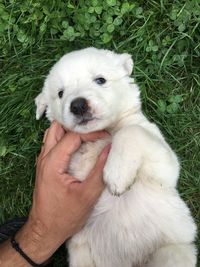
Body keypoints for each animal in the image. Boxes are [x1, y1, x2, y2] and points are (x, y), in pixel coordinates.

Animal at [35, 48, 196, 267]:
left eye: (100, 80)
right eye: (60, 93)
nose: (78, 105)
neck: (103, 135)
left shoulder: (164, 165)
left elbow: (130, 131)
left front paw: (116, 176)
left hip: (173, 252)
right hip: (83, 257)